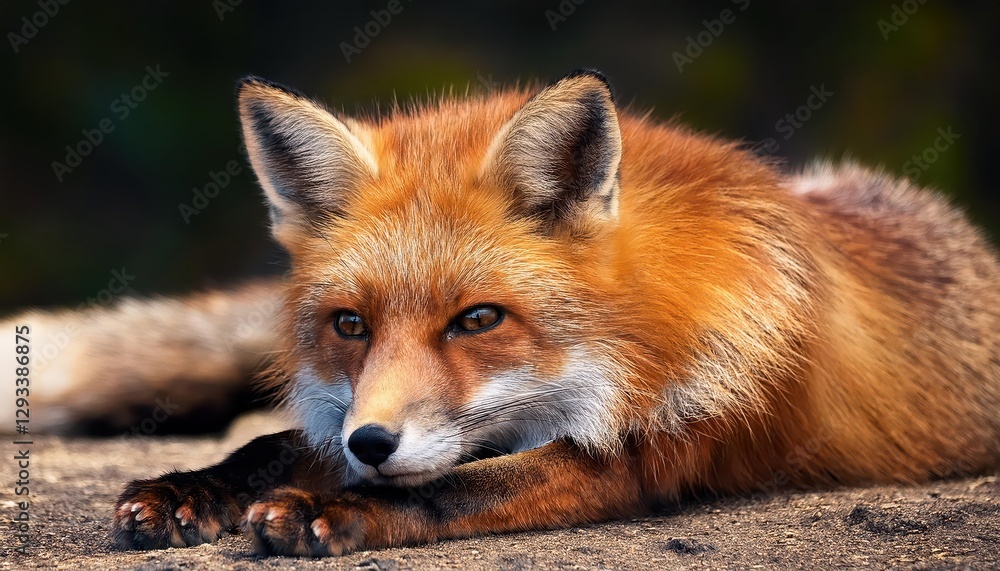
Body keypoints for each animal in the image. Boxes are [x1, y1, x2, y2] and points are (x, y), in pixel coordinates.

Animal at [5, 69, 998, 556]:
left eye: (477, 319)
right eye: (351, 325)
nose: (371, 443)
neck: (639, 331)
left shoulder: (649, 450)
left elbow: (453, 486)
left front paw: (334, 511)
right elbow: (268, 446)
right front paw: (190, 490)